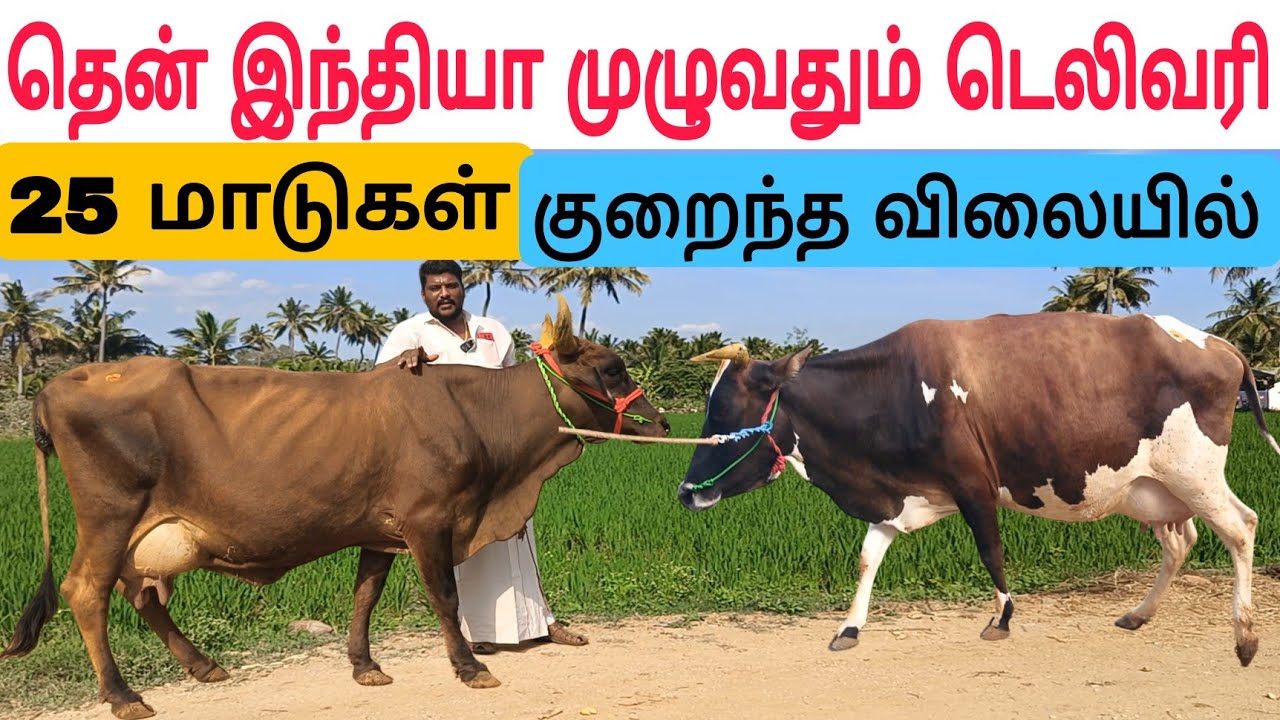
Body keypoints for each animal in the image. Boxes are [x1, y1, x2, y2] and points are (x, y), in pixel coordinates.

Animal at [0, 296, 669, 720]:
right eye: (611, 367)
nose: (662, 423)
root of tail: (56, 386)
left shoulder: (382, 529)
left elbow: (365, 594)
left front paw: (364, 665)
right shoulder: (430, 523)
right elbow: (445, 597)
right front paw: (468, 667)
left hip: (149, 530)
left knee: (139, 591)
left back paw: (202, 665)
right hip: (110, 516)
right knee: (87, 591)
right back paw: (124, 696)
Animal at [679, 311, 1273, 667]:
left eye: (725, 412)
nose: (685, 493)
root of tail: (1219, 342)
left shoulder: (974, 484)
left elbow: (991, 550)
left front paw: (1002, 618)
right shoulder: (898, 498)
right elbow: (869, 557)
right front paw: (849, 626)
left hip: (1194, 474)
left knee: (1241, 528)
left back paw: (1244, 638)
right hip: (1152, 488)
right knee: (1182, 541)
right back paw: (1138, 614)